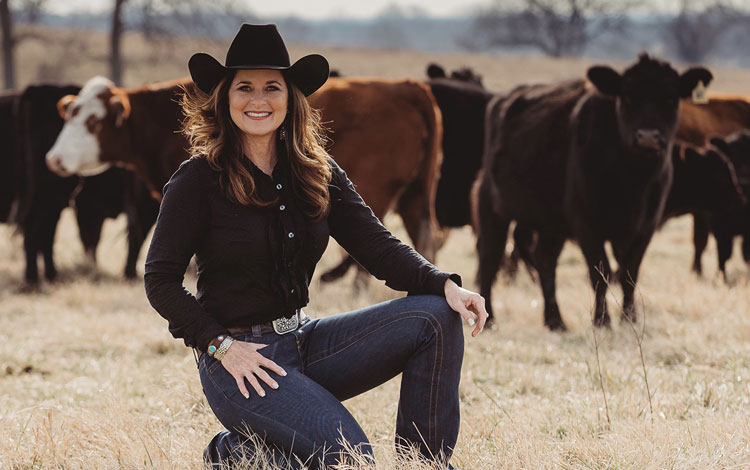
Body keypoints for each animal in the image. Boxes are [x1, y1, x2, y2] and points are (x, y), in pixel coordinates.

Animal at [45, 75, 446, 278]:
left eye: (93, 122)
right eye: (70, 115)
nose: (54, 159)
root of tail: (407, 86)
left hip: (377, 191)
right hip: (416, 196)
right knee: (424, 241)